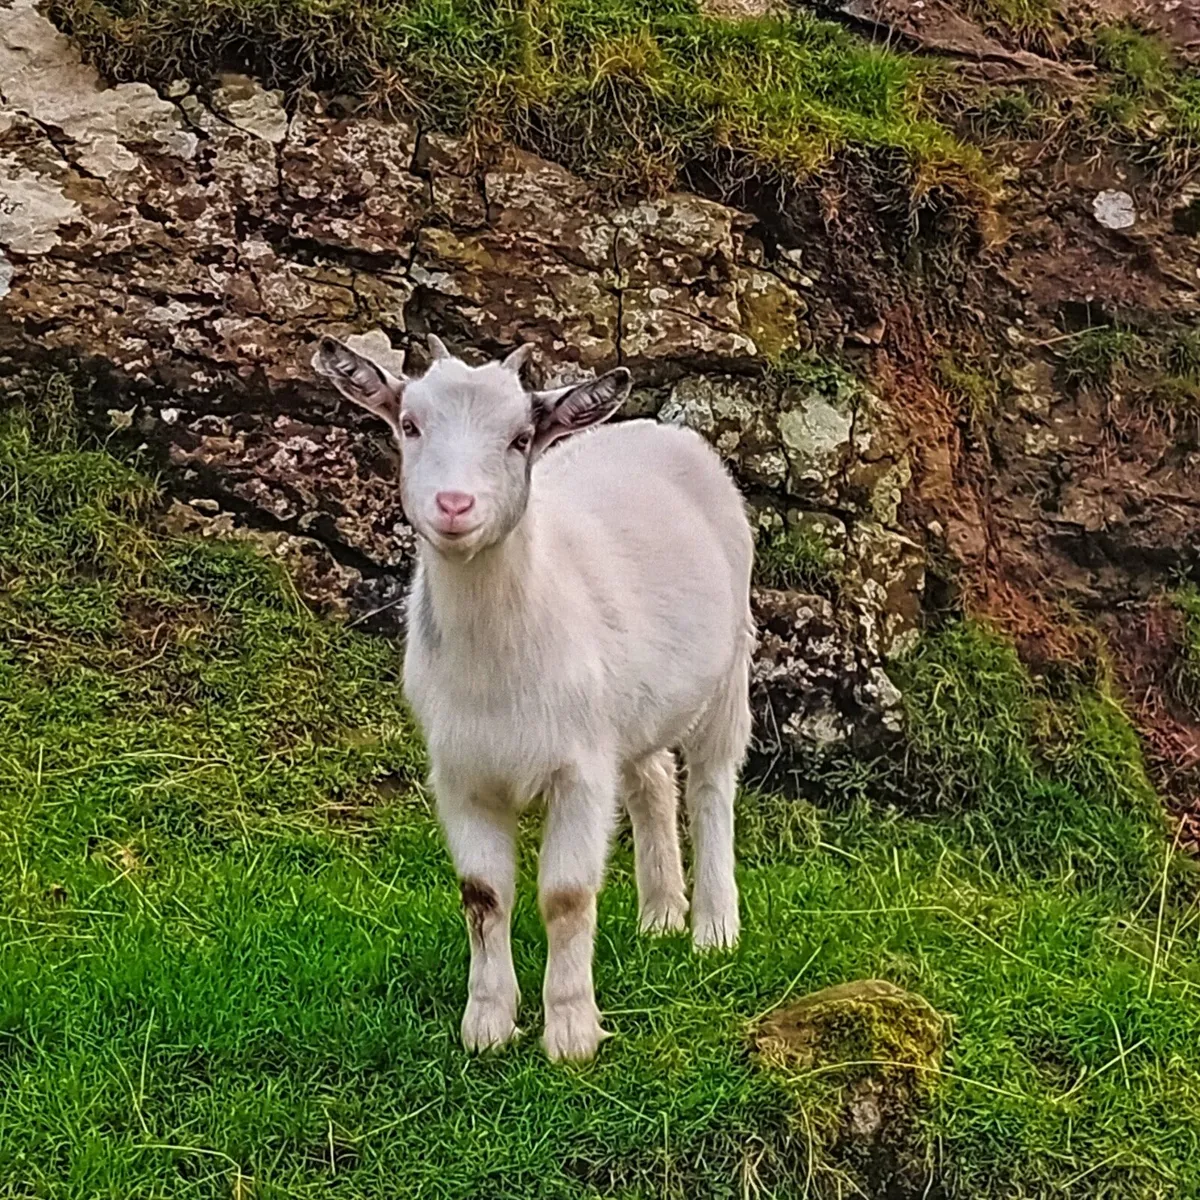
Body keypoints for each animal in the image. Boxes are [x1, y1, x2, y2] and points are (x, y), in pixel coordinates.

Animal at [312, 333, 754, 1062]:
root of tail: (660, 431)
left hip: (732, 661)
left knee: (712, 782)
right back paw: (661, 915)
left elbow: (567, 897)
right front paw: (488, 1025)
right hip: (632, 706)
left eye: (520, 438)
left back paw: (714, 929)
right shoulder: (461, 774)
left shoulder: (579, 771)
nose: (454, 505)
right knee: (652, 779)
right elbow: (483, 896)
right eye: (409, 425)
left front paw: (571, 1033)